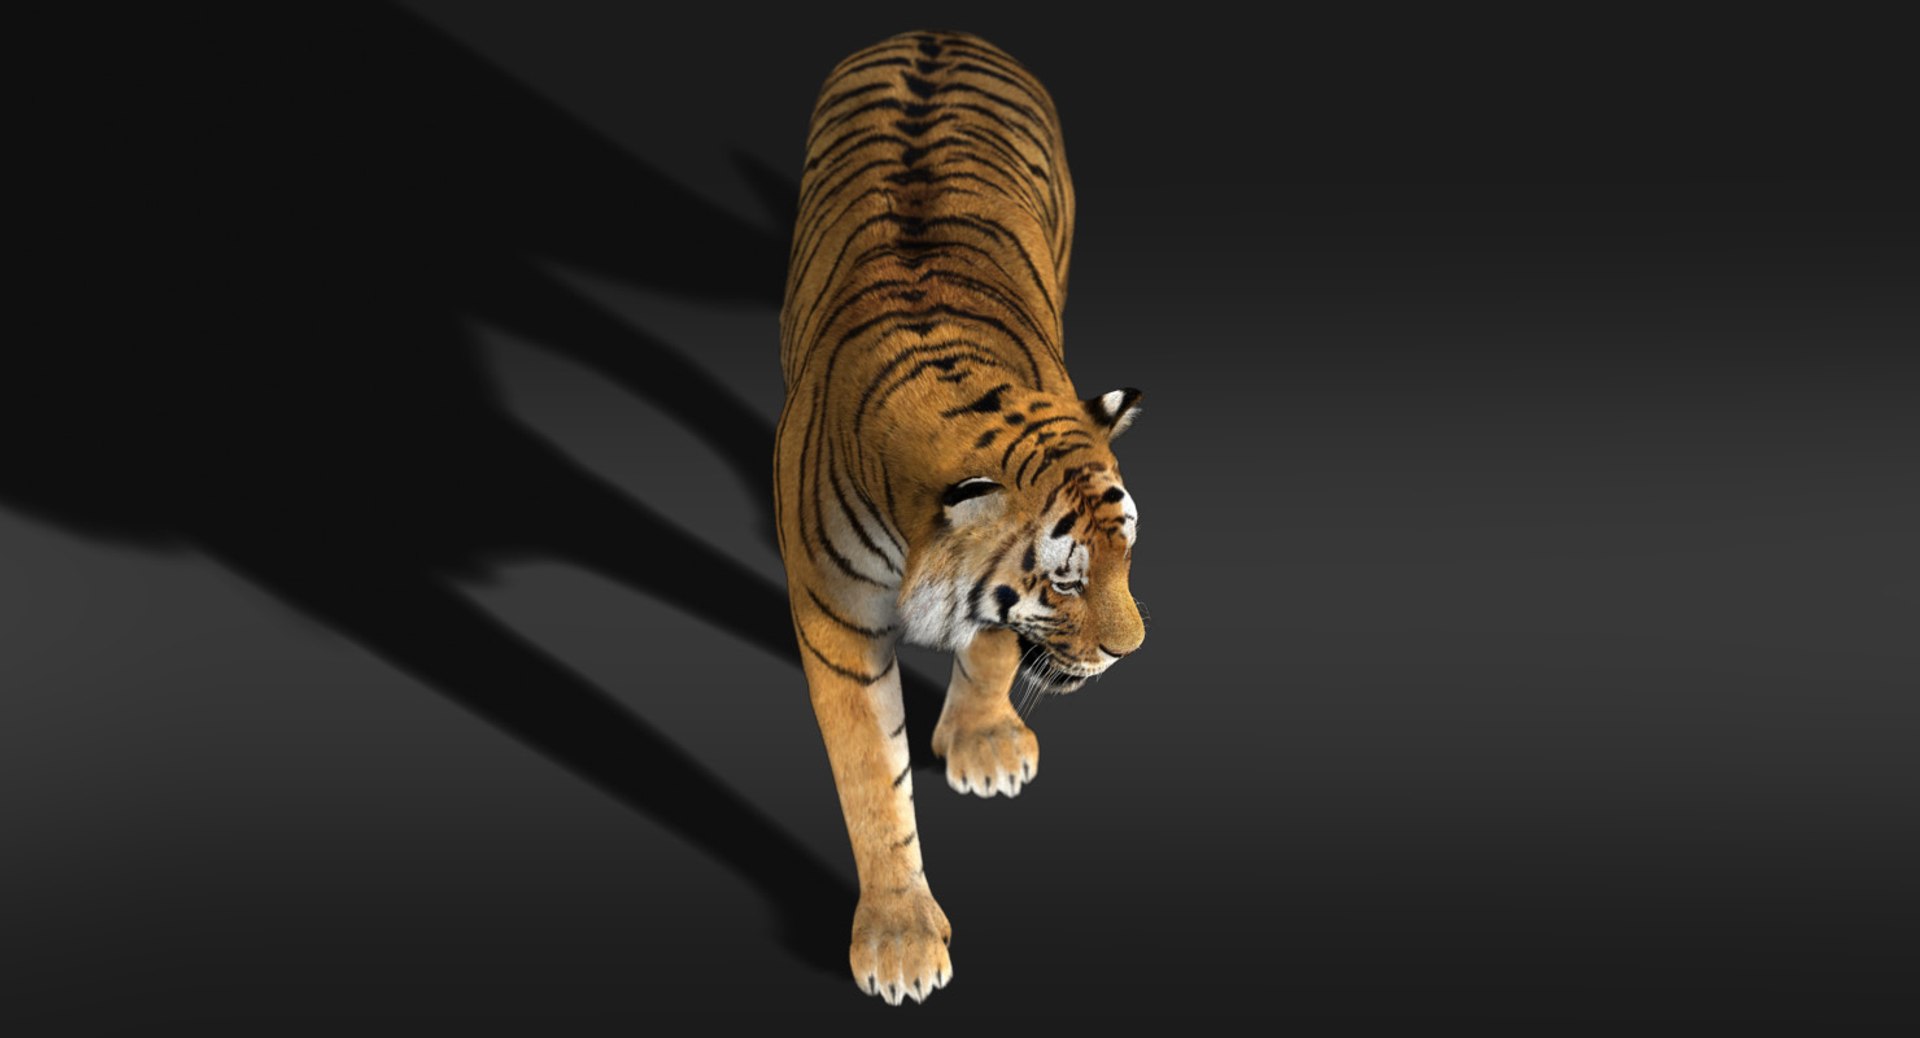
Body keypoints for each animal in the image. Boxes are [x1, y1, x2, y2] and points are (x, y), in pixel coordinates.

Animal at [774, 30, 1145, 1005]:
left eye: (1129, 556)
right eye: (1068, 580)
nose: (1130, 651)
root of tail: (935, 32)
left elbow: (990, 649)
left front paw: (983, 744)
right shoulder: (833, 618)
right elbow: (873, 778)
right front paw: (901, 941)